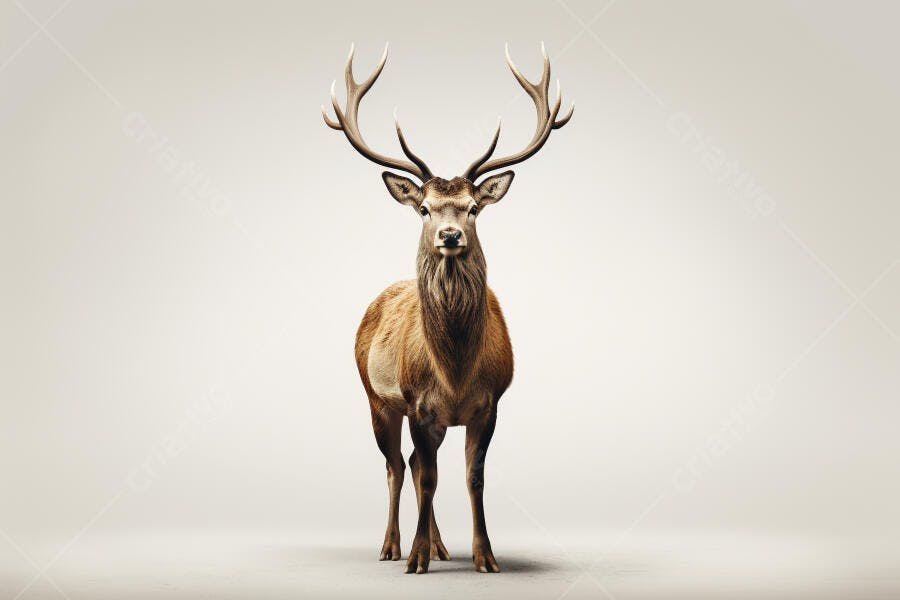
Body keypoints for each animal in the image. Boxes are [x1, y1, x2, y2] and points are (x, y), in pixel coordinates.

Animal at [322, 43, 572, 574]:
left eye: (473, 207)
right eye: (424, 208)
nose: (450, 235)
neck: (454, 370)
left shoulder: (491, 404)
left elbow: (470, 478)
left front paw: (484, 556)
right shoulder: (418, 403)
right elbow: (428, 477)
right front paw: (416, 559)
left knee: (417, 465)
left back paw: (439, 545)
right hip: (376, 399)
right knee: (398, 466)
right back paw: (393, 546)